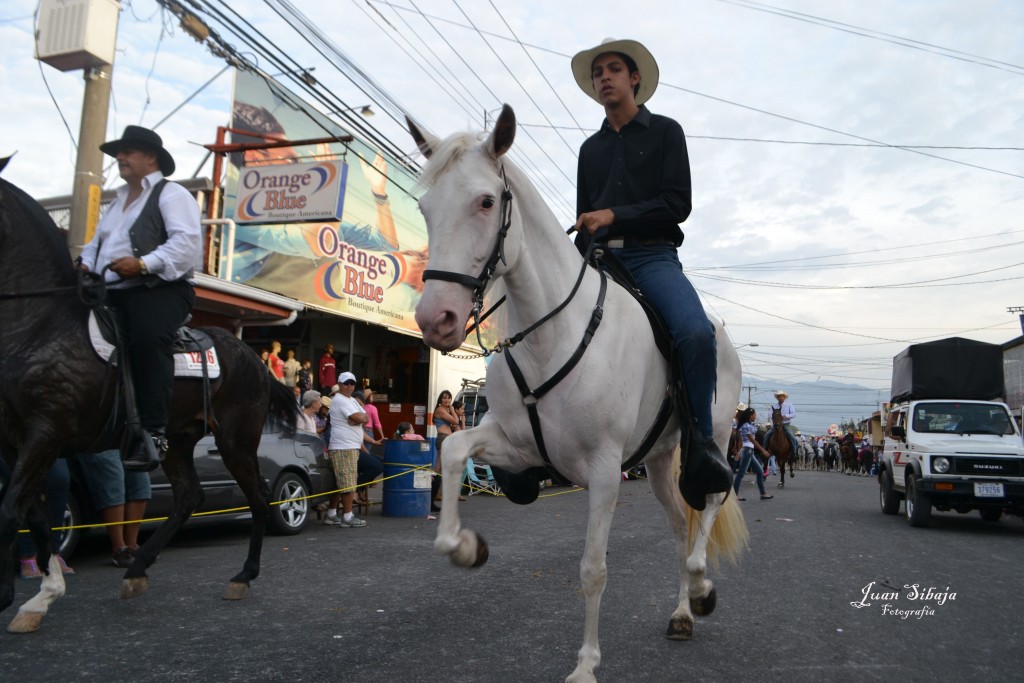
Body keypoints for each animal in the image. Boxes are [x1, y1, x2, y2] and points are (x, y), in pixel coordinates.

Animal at [0, 174, 299, 634]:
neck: (42, 325)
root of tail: (254, 358)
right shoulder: (18, 442)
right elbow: (33, 514)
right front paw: (41, 597)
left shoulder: (44, 435)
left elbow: (11, 510)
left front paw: (10, 596)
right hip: (177, 440)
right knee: (190, 497)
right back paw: (137, 568)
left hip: (236, 440)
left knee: (260, 498)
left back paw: (243, 576)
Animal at [409, 107, 753, 683]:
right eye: (424, 207)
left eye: (485, 201)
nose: (437, 320)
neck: (551, 333)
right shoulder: (516, 445)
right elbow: (453, 451)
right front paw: (466, 547)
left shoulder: (604, 469)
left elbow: (593, 569)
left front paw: (586, 665)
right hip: (658, 460)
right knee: (679, 526)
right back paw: (683, 611)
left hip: (715, 437)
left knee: (709, 501)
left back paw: (702, 587)